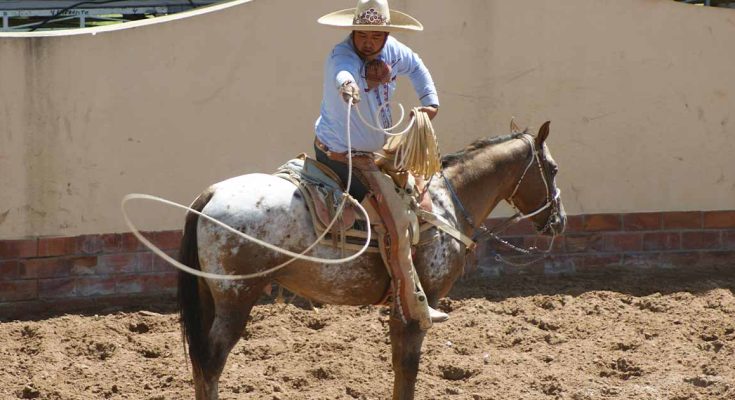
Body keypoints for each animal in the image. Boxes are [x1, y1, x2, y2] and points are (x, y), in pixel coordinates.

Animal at [175, 122, 568, 400]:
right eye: (552, 168)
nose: (559, 221)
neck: (445, 204)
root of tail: (211, 194)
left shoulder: (399, 307)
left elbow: (399, 366)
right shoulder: (422, 302)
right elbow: (409, 367)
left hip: (210, 298)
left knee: (199, 363)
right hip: (236, 299)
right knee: (210, 363)